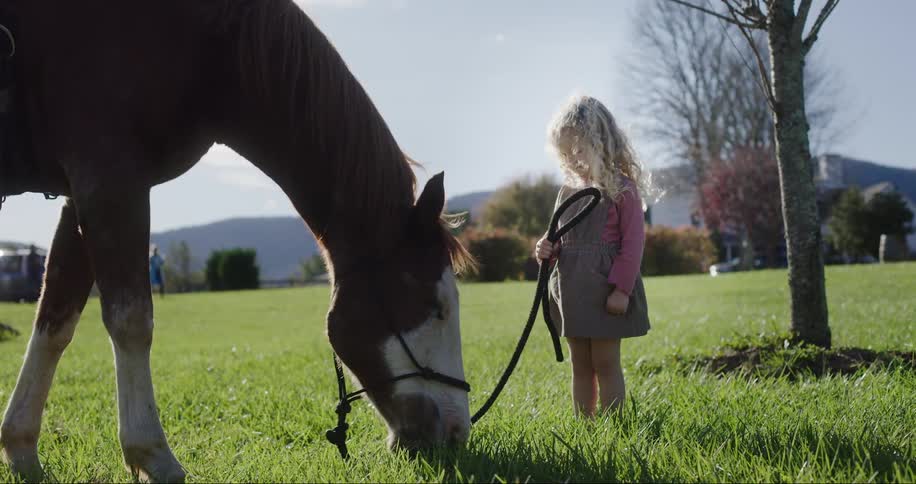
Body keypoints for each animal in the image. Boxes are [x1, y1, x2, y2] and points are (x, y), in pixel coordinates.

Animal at [0, 1, 476, 481]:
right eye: (436, 308)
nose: (456, 430)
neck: (213, 40)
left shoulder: (81, 195)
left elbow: (55, 320)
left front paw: (21, 447)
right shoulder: (108, 178)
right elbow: (131, 320)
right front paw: (152, 454)